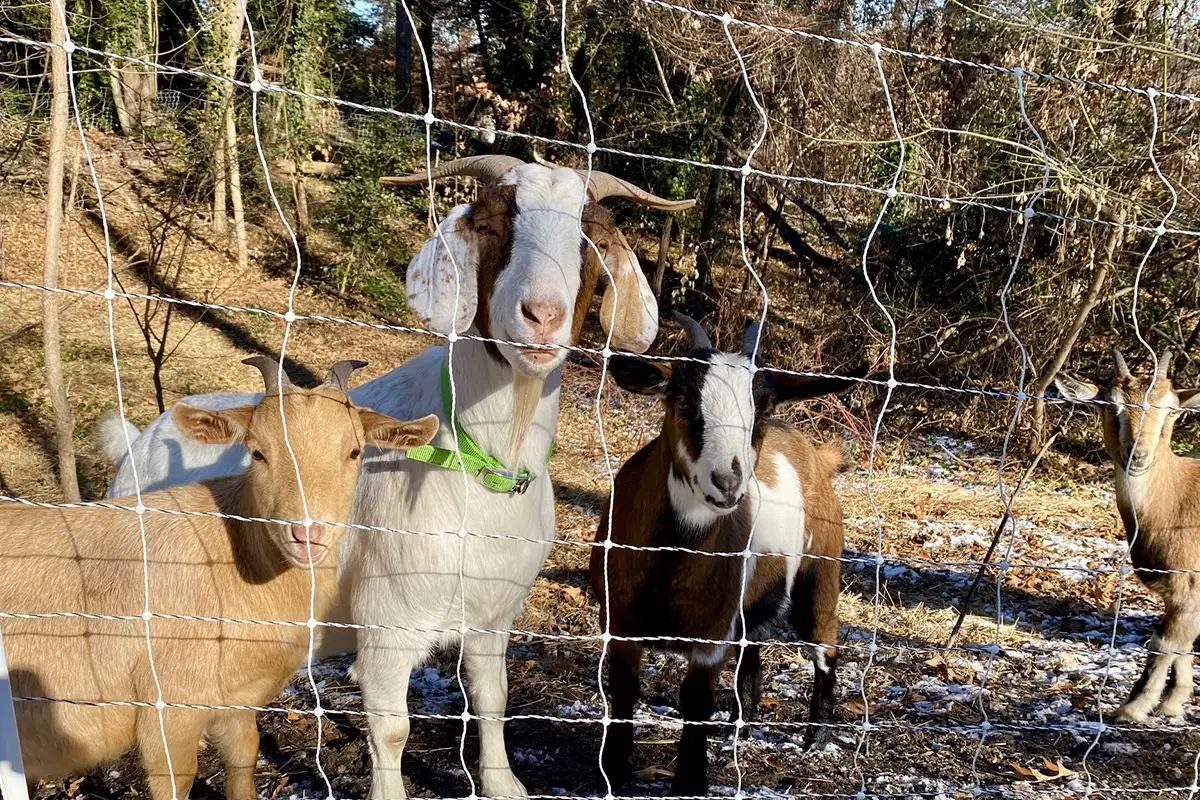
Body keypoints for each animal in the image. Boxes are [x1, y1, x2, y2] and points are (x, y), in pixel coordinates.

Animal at [4, 357, 437, 800]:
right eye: (257, 453)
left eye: (354, 451)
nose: (306, 534)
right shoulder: (168, 710)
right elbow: (175, 780)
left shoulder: (237, 701)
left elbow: (244, 759)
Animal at [103, 155, 694, 798]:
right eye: (490, 225)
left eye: (595, 240)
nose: (543, 317)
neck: (480, 460)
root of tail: (139, 439)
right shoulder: (387, 625)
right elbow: (391, 731)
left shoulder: (492, 618)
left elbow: (493, 700)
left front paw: (503, 783)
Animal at [591, 313, 858, 795]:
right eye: (681, 399)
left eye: (762, 410)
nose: (728, 482)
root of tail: (818, 455)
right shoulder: (619, 622)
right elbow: (624, 692)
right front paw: (615, 771)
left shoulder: (712, 633)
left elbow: (695, 700)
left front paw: (690, 780)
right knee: (752, 652)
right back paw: (742, 726)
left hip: (821, 578)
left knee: (826, 648)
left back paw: (816, 739)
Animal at [1056, 348, 1200, 723]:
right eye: (1110, 405)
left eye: (1171, 410)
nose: (1138, 456)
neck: (1175, 500)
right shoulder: (1180, 596)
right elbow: (1180, 644)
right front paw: (1173, 702)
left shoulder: (1190, 587)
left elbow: (1164, 643)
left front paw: (1133, 708)